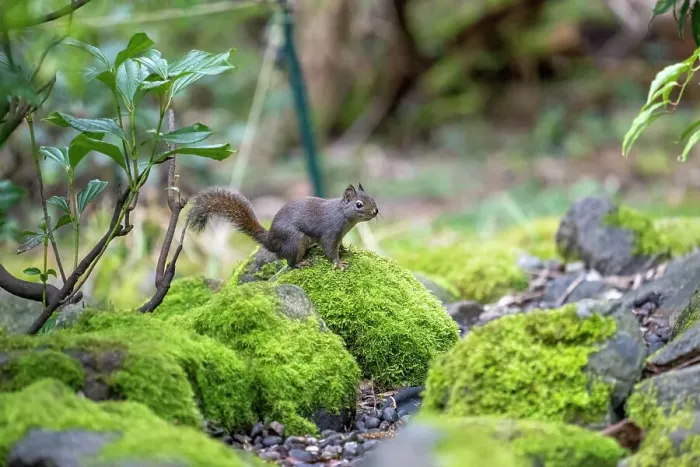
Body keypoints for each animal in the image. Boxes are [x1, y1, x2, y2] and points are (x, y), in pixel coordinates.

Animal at [186, 183, 379, 270]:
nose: (376, 211)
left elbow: (340, 245)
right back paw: (301, 263)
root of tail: (271, 241)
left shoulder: (339, 236)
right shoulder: (330, 232)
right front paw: (339, 263)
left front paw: (346, 251)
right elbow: (330, 249)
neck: (343, 216)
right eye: (359, 205)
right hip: (295, 241)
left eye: (372, 198)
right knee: (290, 262)